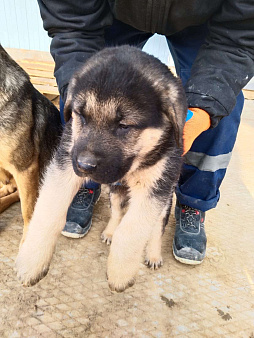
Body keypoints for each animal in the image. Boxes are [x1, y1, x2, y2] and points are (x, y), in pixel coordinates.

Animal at [15, 45, 187, 292]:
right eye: (81, 116)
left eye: (124, 126)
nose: (84, 166)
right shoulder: (64, 163)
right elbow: (48, 212)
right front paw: (31, 262)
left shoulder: (156, 187)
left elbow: (132, 230)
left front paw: (120, 272)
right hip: (115, 193)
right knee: (117, 213)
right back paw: (109, 232)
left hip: (164, 202)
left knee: (156, 229)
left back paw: (153, 254)